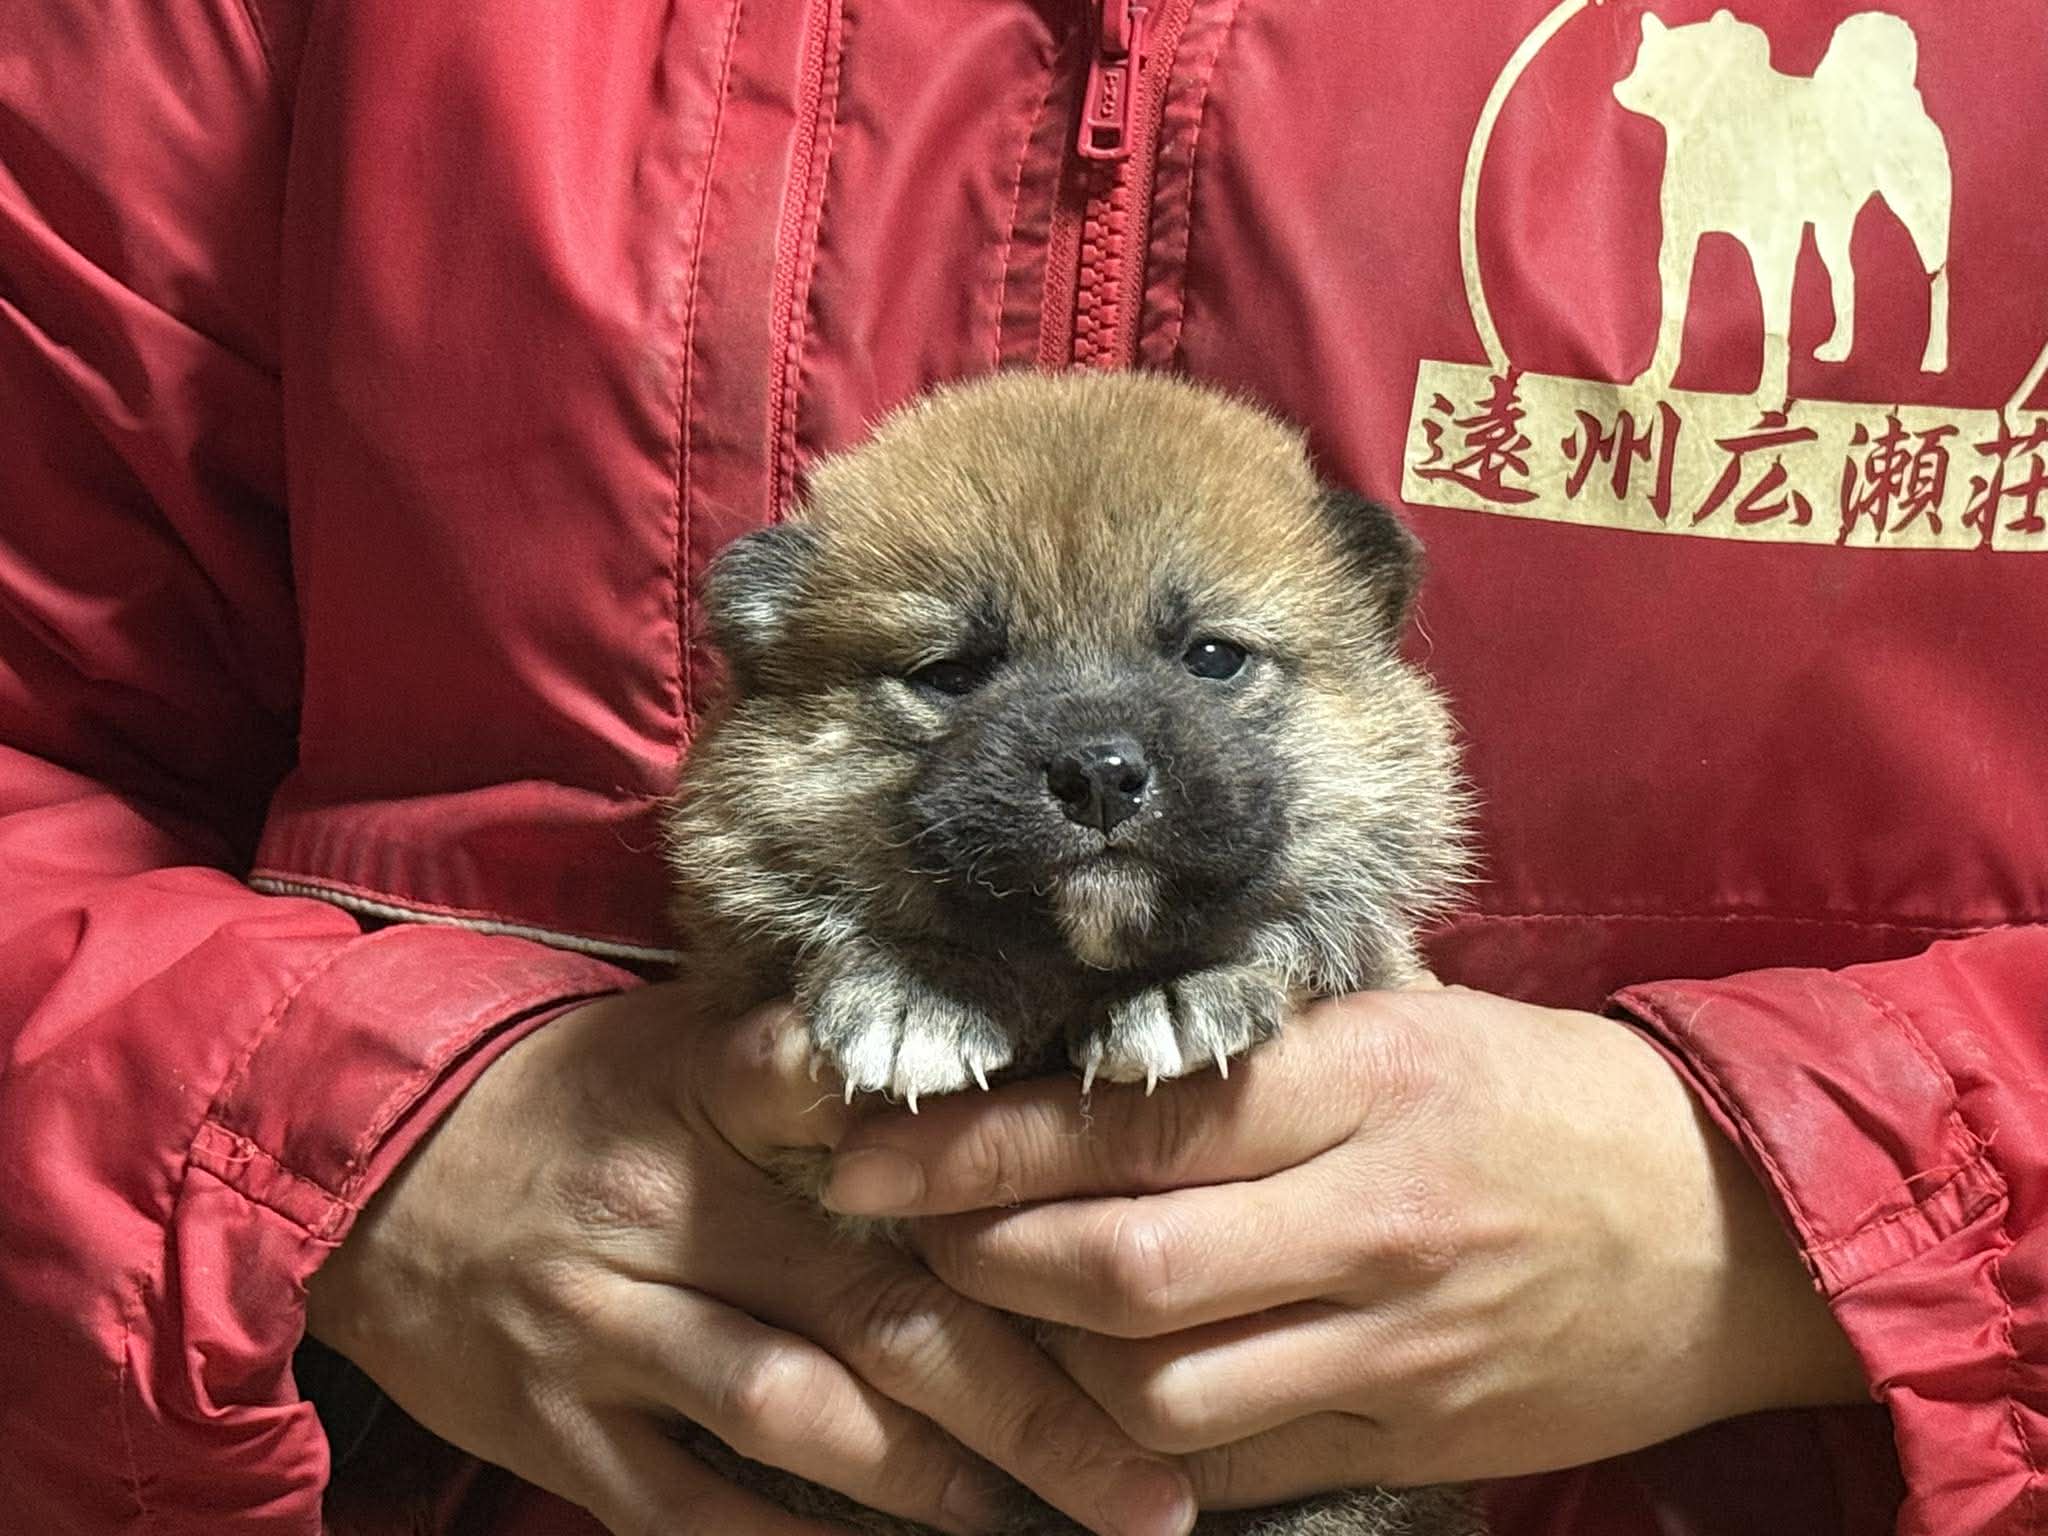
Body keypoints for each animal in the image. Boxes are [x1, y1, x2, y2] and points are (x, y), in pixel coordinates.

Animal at [1614, 9, 1952, 403]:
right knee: (1845, 279)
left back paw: (1935, 358)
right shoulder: (1678, 241)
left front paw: (1770, 392)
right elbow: (1672, 317)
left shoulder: (1773, 247)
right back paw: (1840, 349)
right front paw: (1656, 378)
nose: (1625, 86)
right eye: (1645, 58)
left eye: (1680, 61)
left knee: (1938, 281)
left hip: (1921, 215)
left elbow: (1775, 327)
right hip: (1830, 228)